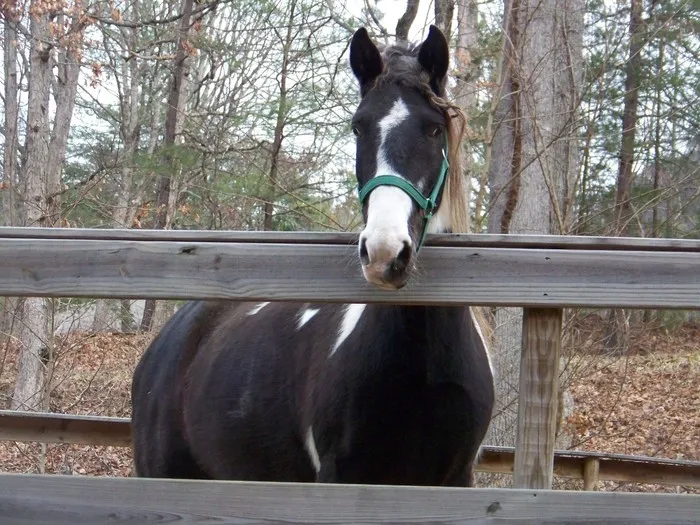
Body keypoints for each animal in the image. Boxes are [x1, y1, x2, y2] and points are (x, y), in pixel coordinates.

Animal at [130, 25, 495, 487]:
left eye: (433, 130)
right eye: (358, 128)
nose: (384, 251)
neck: (421, 368)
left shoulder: (456, 480)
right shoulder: (340, 477)